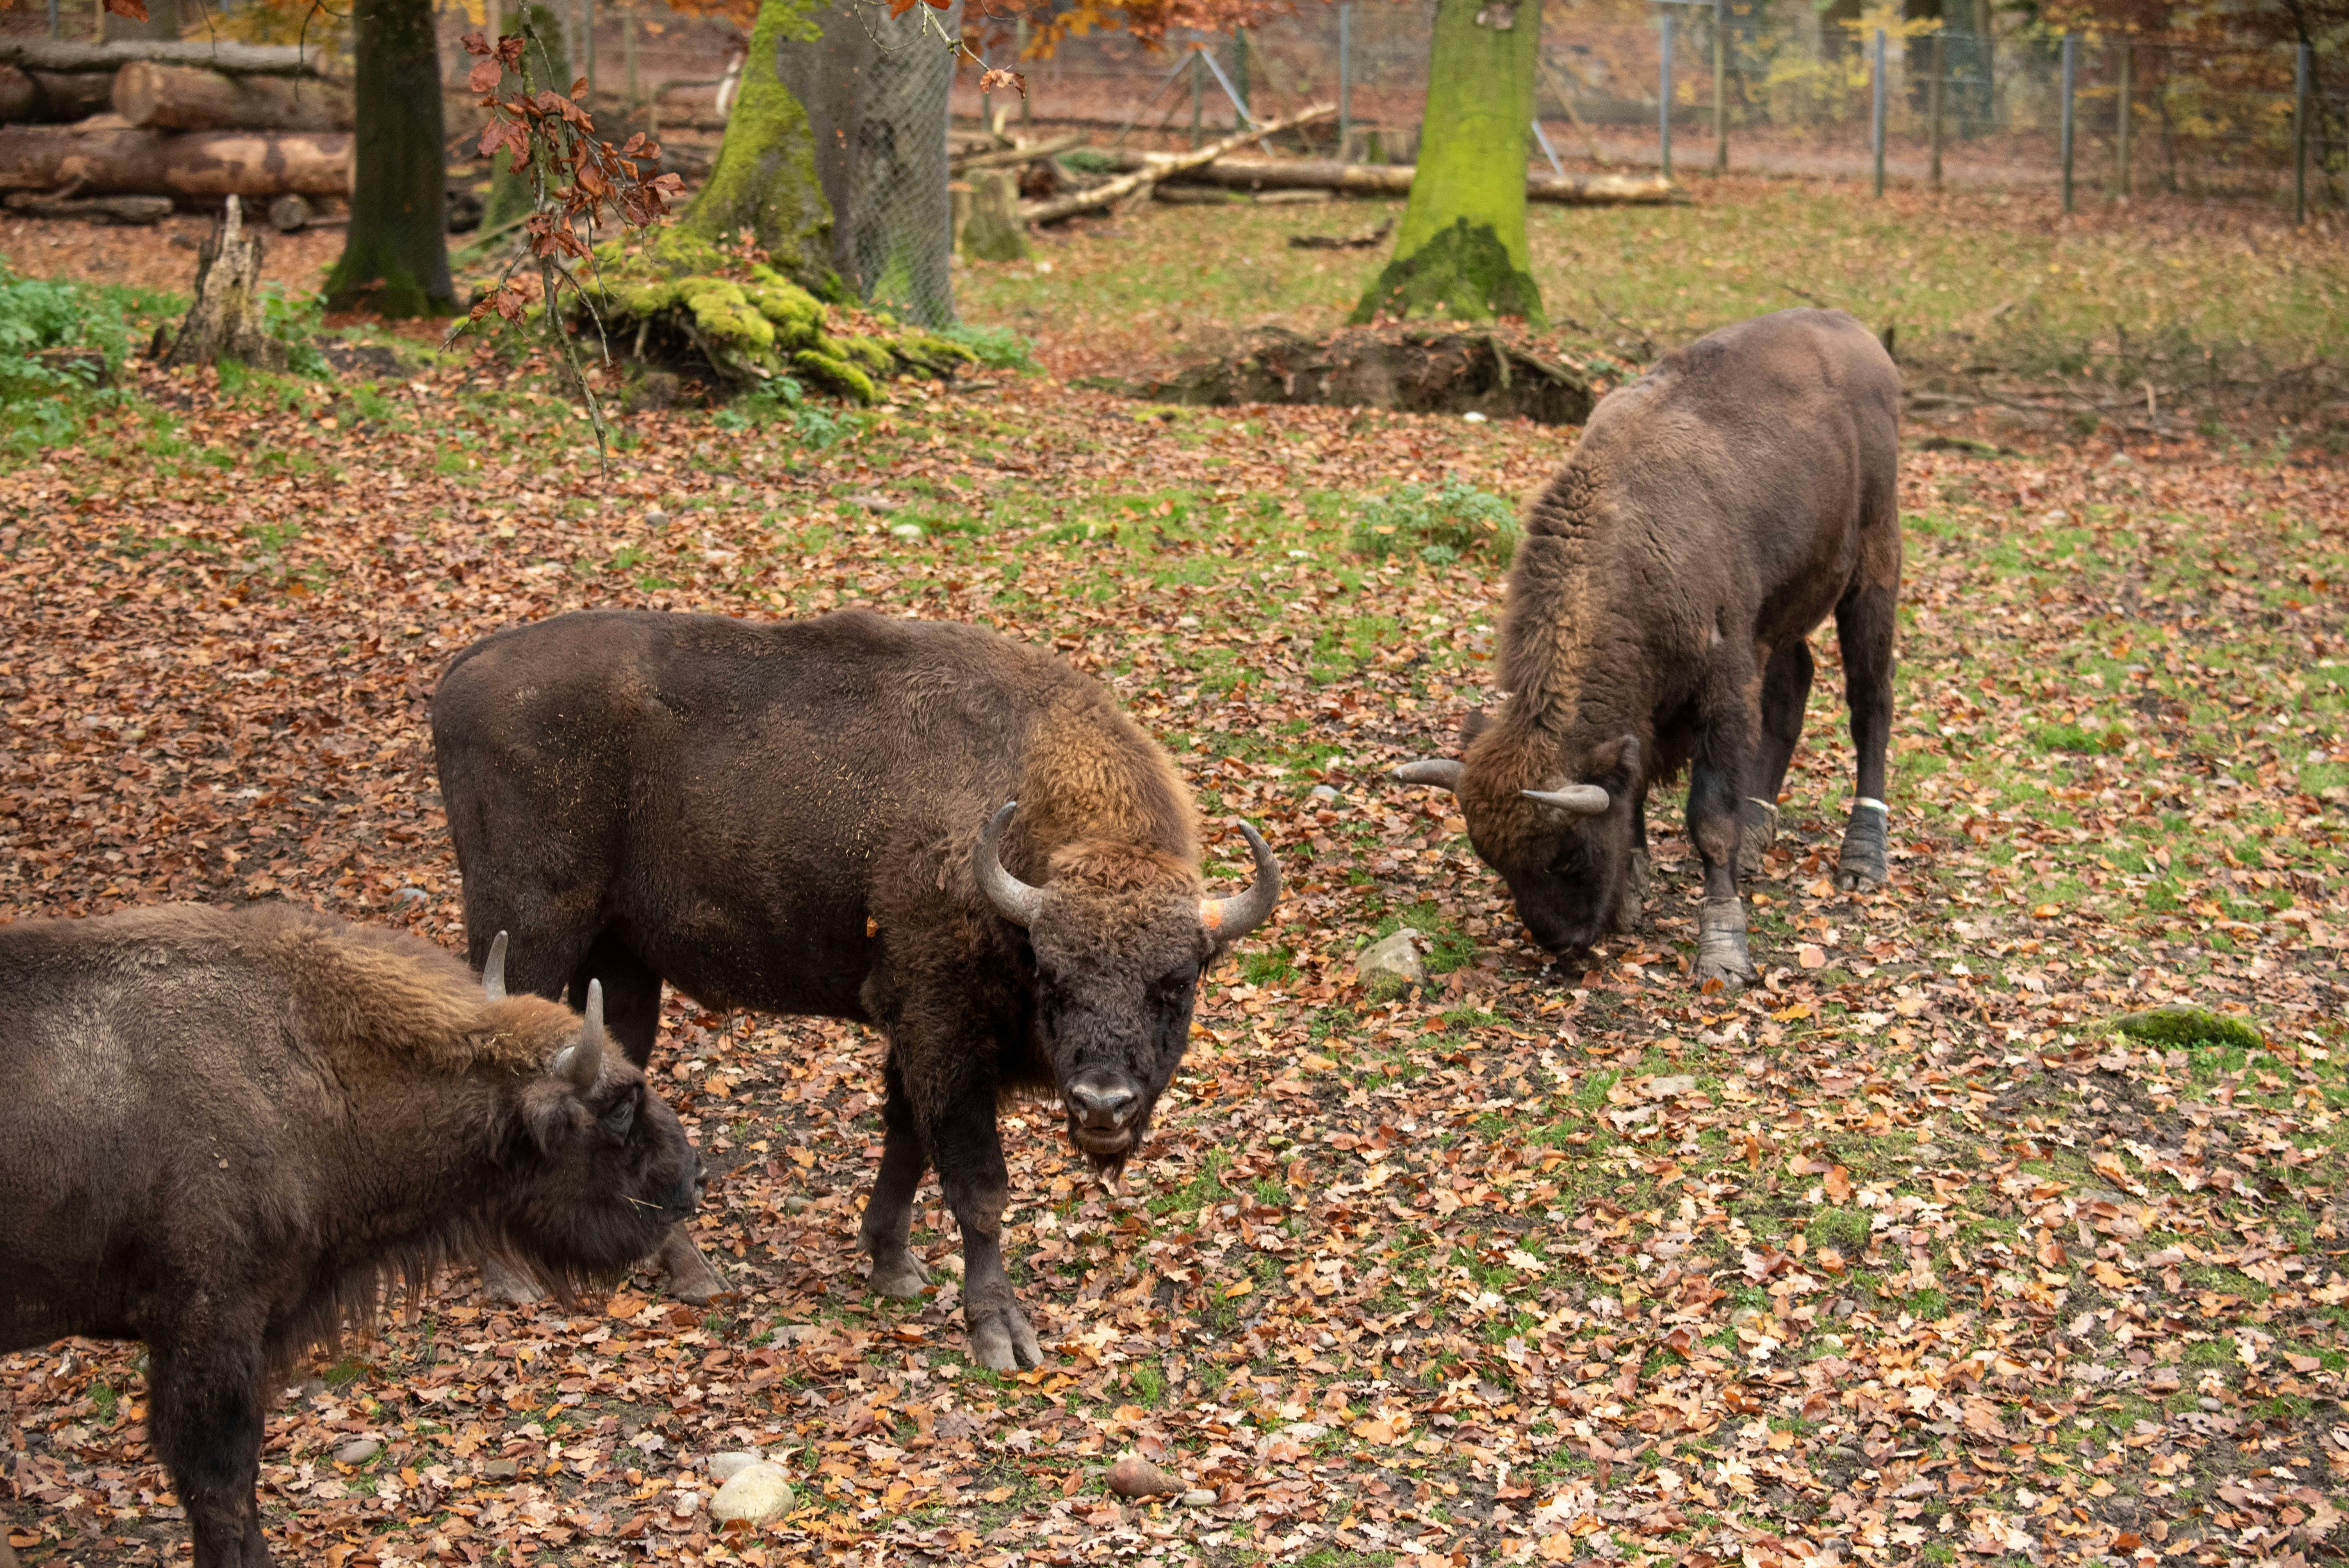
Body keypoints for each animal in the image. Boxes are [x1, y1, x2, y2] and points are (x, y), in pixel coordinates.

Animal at [442, 610, 1287, 1370]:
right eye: (1052, 974)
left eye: (1174, 982)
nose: (1103, 1104)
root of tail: (467, 667)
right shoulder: (943, 1027)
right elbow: (977, 1183)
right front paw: (999, 1332)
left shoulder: (918, 1035)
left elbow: (906, 1141)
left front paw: (892, 1267)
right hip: (529, 932)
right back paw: (511, 1277)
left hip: (619, 964)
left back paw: (691, 1272)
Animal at [1381, 312, 1898, 986]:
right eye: (1495, 862)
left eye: (1568, 856)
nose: (1560, 942)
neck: (1628, 545)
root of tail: (1857, 333)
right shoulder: (1654, 709)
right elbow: (1637, 788)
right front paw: (1634, 888)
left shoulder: (1724, 691)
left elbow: (1711, 820)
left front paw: (1723, 950)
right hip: (1786, 605)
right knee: (1796, 684)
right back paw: (1762, 829)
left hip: (1875, 565)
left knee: (1870, 702)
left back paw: (1863, 856)